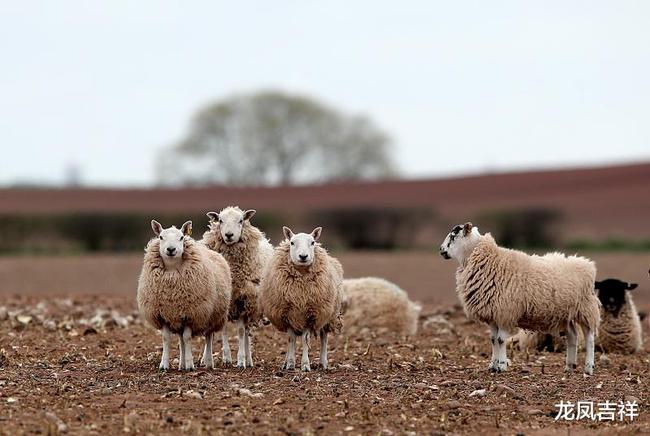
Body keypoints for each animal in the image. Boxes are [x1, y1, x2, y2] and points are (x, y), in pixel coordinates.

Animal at [135, 220, 232, 370]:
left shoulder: (191, 314)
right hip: (180, 317)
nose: (170, 249)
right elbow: (166, 338)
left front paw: (190, 364)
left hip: (212, 314)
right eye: (161, 237)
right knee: (181, 340)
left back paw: (208, 362)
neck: (172, 272)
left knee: (208, 336)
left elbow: (187, 337)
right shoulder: (163, 314)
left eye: (181, 237)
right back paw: (181, 364)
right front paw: (164, 365)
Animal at [202, 207, 274, 368]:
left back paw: (249, 359)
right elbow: (223, 329)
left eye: (241, 220)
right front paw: (226, 358)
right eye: (220, 220)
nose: (229, 235)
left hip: (252, 303)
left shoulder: (242, 299)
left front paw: (241, 360)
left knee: (246, 332)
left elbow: (240, 332)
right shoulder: (225, 302)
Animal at [256, 227, 342, 372]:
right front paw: (290, 363)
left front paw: (305, 365)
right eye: (292, 242)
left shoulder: (310, 314)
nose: (303, 256)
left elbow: (305, 340)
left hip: (328, 314)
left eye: (312, 242)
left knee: (324, 338)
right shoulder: (287, 314)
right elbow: (291, 340)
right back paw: (286, 363)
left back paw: (323, 363)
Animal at [438, 223, 600, 372]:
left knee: (589, 338)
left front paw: (501, 366)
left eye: (453, 236)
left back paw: (589, 367)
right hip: (566, 314)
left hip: (586, 309)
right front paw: (492, 365)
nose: (441, 250)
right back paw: (569, 366)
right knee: (573, 337)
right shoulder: (493, 313)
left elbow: (500, 340)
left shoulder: (505, 312)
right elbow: (493, 340)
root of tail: (587, 264)